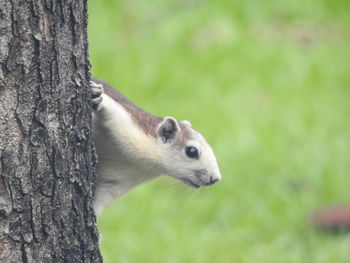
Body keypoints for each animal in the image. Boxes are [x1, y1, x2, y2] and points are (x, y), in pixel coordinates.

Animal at [90, 79, 221, 219]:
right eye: (192, 151)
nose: (215, 178)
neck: (145, 164)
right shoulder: (128, 125)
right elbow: (112, 111)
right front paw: (99, 98)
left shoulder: (115, 183)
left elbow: (101, 200)